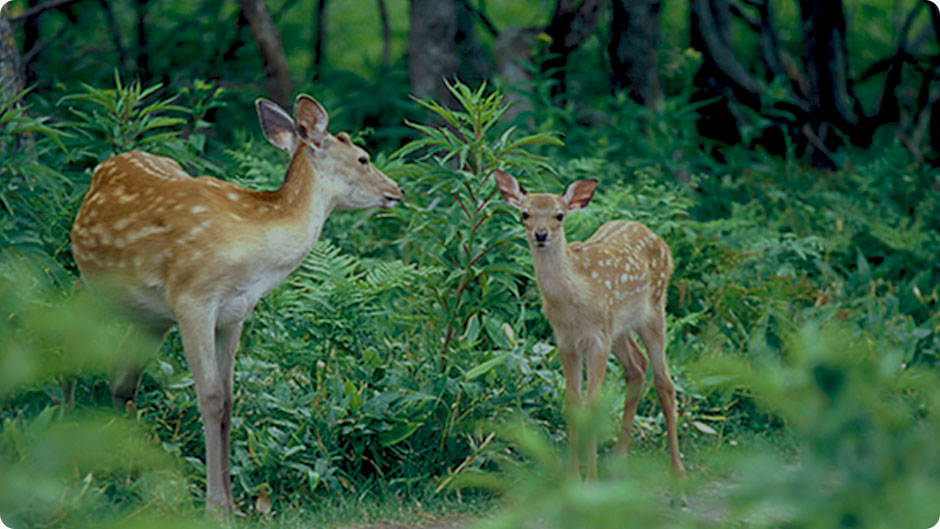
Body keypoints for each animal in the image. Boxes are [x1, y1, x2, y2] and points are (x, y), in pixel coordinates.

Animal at [68, 95, 400, 516]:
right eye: (363, 157)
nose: (397, 189)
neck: (254, 255)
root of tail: (103, 168)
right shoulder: (193, 300)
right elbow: (210, 398)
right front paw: (214, 506)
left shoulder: (235, 314)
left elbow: (228, 399)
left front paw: (232, 503)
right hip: (96, 285)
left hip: (149, 316)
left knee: (122, 374)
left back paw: (128, 475)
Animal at [492, 171, 684, 476]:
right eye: (525, 213)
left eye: (559, 215)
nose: (541, 234)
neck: (574, 301)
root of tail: (660, 241)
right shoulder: (566, 340)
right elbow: (573, 402)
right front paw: (573, 475)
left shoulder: (597, 341)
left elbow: (593, 404)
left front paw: (590, 478)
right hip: (618, 328)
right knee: (637, 366)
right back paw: (617, 461)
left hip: (654, 309)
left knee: (664, 380)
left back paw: (677, 471)